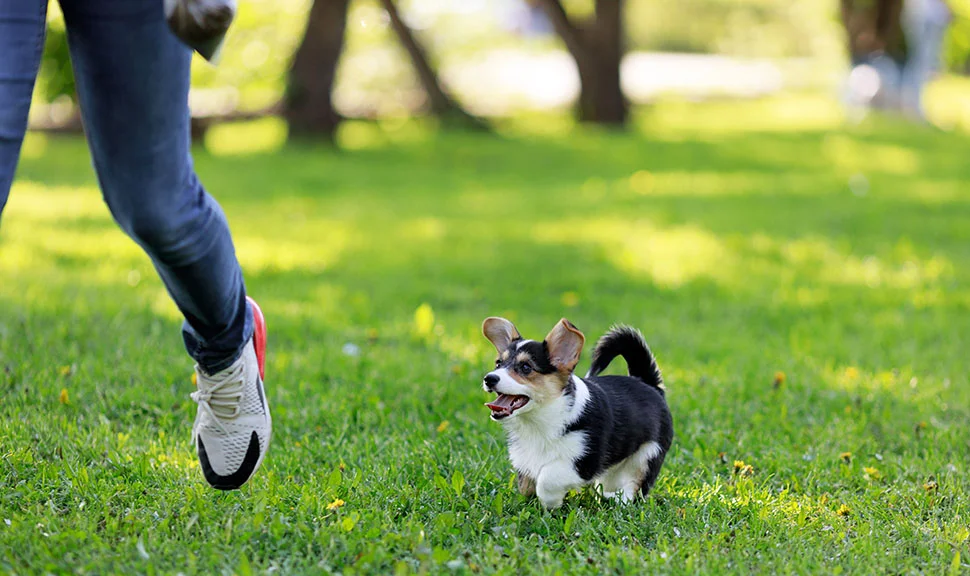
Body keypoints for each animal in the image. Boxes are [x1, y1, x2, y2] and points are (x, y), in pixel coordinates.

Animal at [480, 318, 668, 510]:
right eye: (498, 364)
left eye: (526, 367)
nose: (489, 378)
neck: (539, 420)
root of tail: (648, 383)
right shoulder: (525, 458)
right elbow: (525, 485)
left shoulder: (585, 461)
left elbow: (547, 478)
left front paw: (551, 503)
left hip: (648, 456)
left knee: (634, 489)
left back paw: (617, 499)